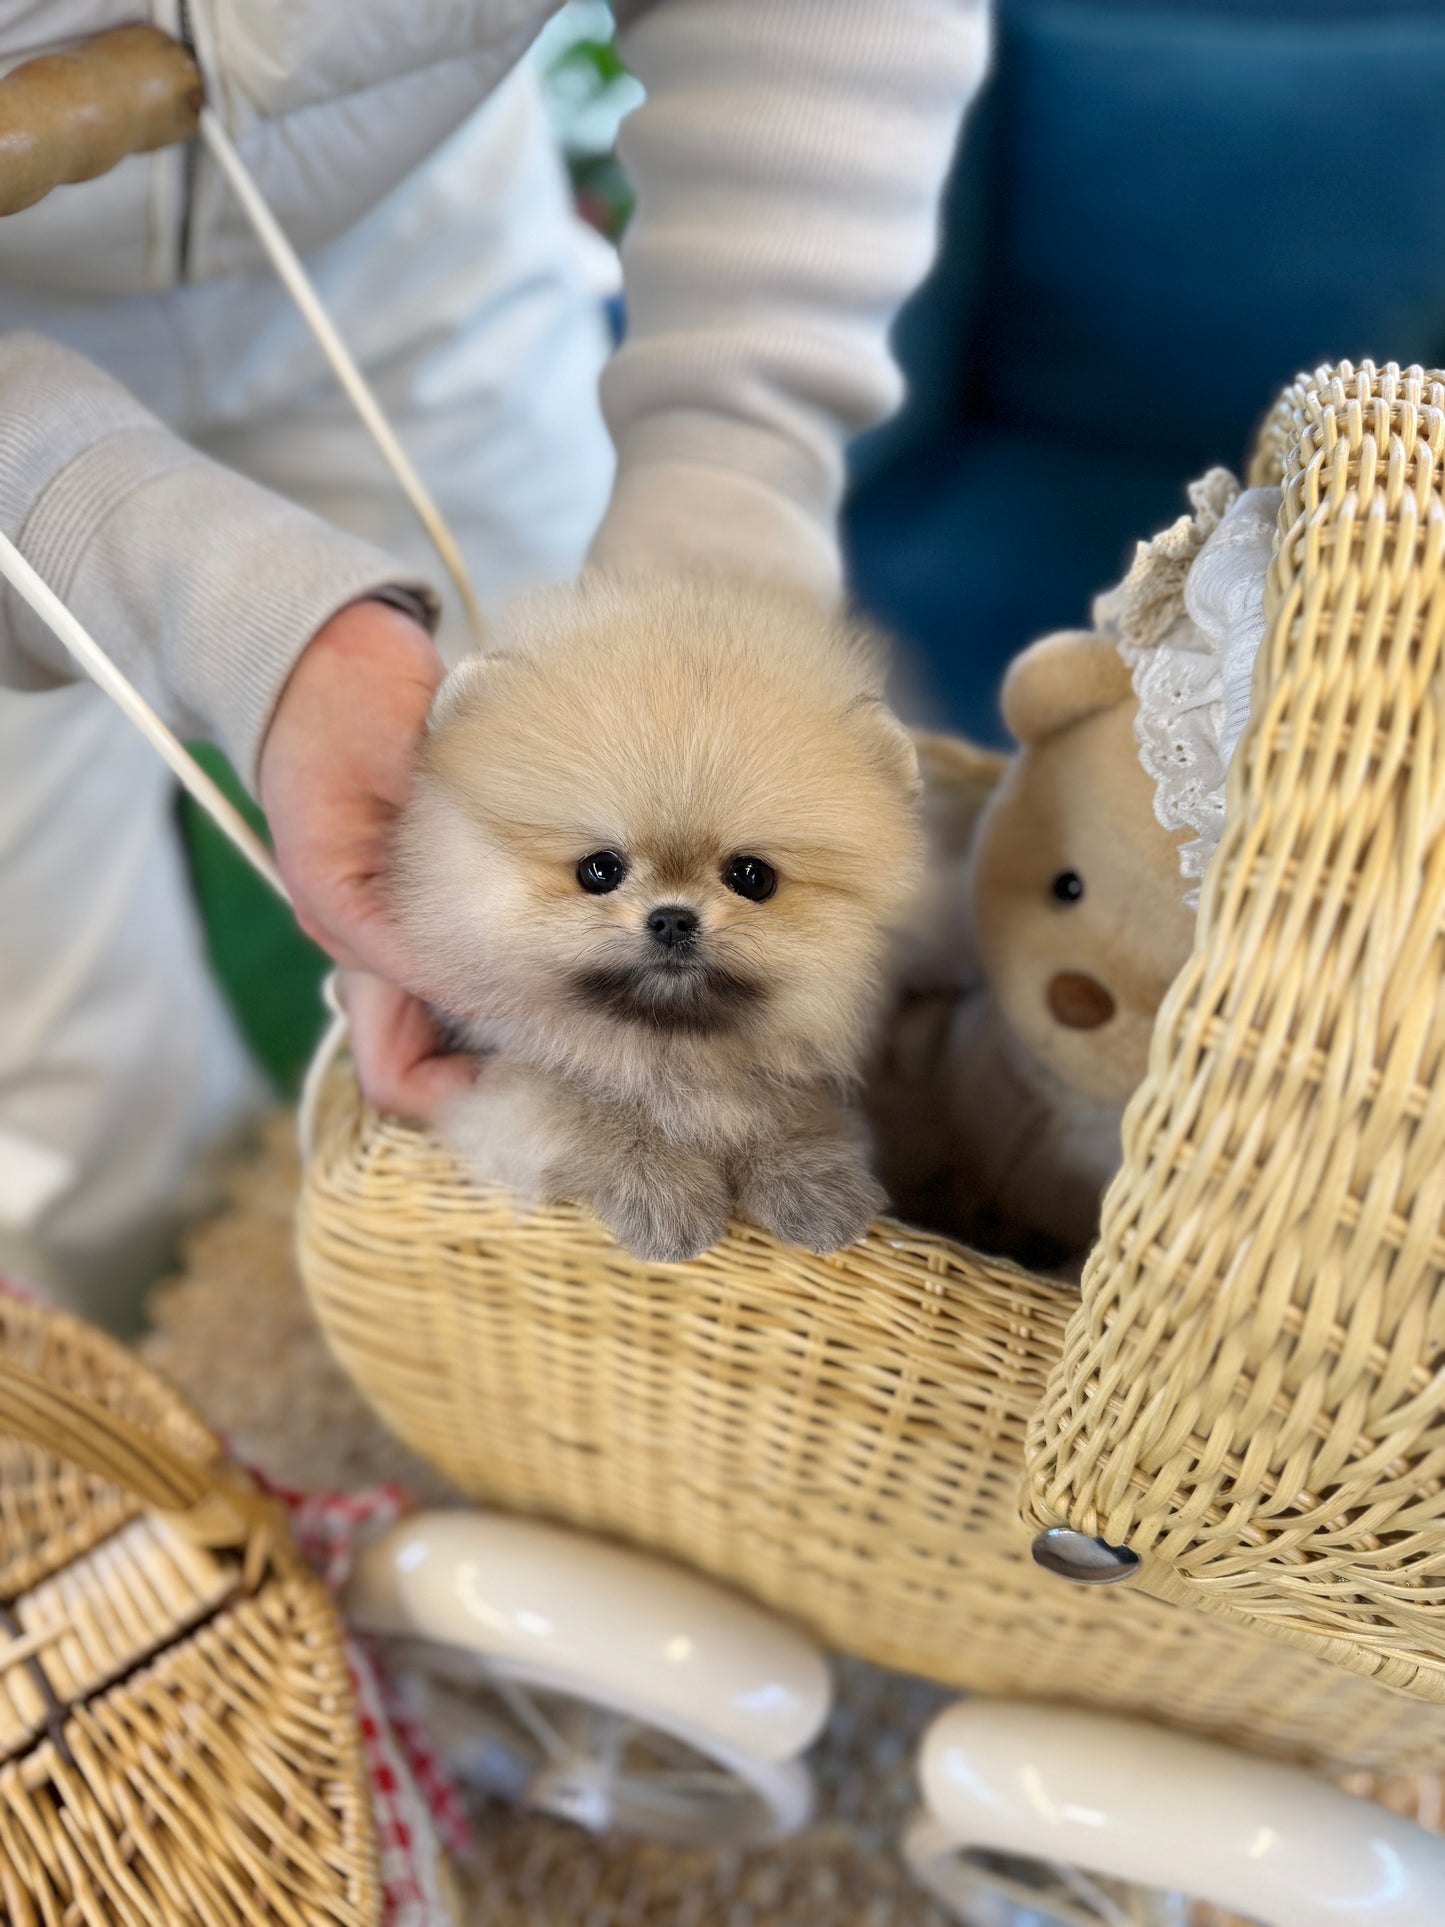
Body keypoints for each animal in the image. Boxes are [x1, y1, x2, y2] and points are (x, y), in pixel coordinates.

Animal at [391, 570, 920, 1264]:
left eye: (752, 877)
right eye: (599, 870)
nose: (672, 919)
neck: (665, 1046)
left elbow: (779, 1107)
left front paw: (811, 1178)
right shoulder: (497, 1081)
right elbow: (581, 1109)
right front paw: (664, 1192)